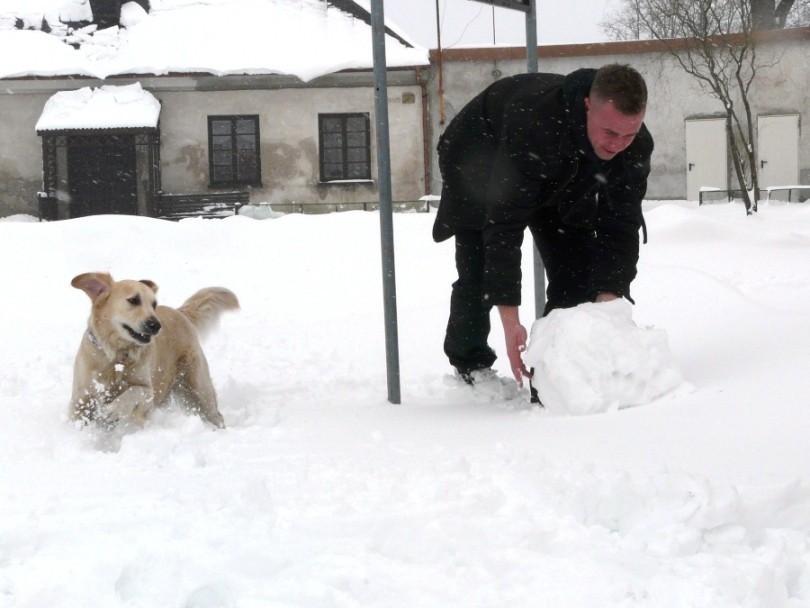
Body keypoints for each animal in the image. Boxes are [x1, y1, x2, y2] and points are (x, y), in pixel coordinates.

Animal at [70, 274, 237, 430]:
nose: (156, 325)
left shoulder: (149, 394)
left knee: (216, 415)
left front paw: (113, 410)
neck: (118, 356)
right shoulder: (81, 398)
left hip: (199, 387)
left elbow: (134, 390)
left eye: (154, 304)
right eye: (133, 300)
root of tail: (180, 313)